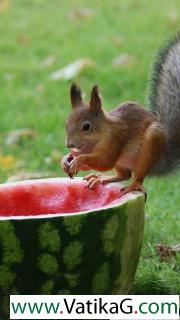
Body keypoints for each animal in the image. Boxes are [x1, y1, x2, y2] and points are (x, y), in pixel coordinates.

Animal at [60, 35, 180, 200]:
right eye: (66, 124)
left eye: (86, 126)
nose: (69, 144)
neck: (96, 139)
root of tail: (162, 159)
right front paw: (66, 159)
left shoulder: (115, 140)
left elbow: (106, 162)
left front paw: (79, 160)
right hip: (123, 162)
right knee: (124, 175)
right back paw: (101, 178)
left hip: (149, 148)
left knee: (137, 176)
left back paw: (133, 185)